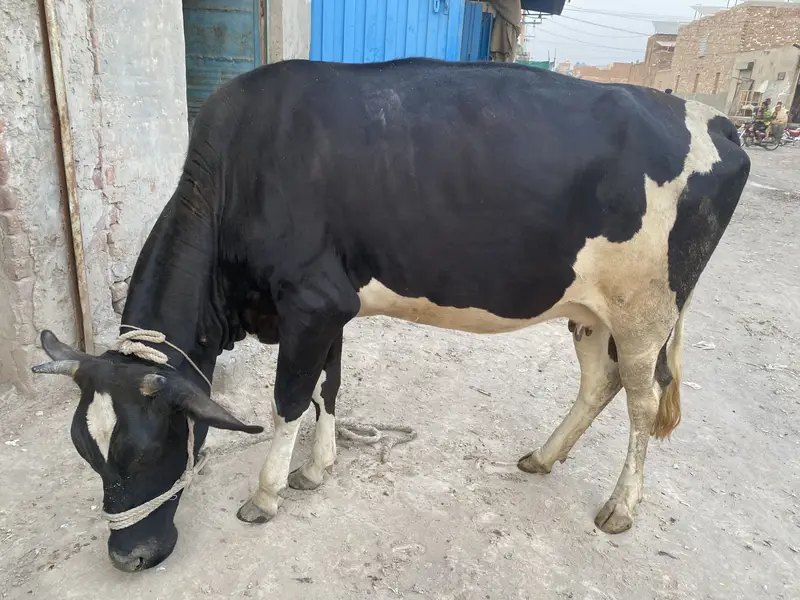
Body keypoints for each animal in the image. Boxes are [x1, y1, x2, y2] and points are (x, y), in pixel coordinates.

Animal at [32, 58, 750, 572]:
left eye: (145, 450)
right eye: (88, 455)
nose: (127, 557)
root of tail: (715, 121)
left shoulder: (311, 302)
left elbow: (287, 401)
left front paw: (266, 494)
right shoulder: (330, 308)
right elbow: (329, 386)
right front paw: (318, 469)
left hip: (647, 311)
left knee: (642, 400)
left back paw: (620, 507)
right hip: (592, 308)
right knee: (600, 382)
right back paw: (543, 458)